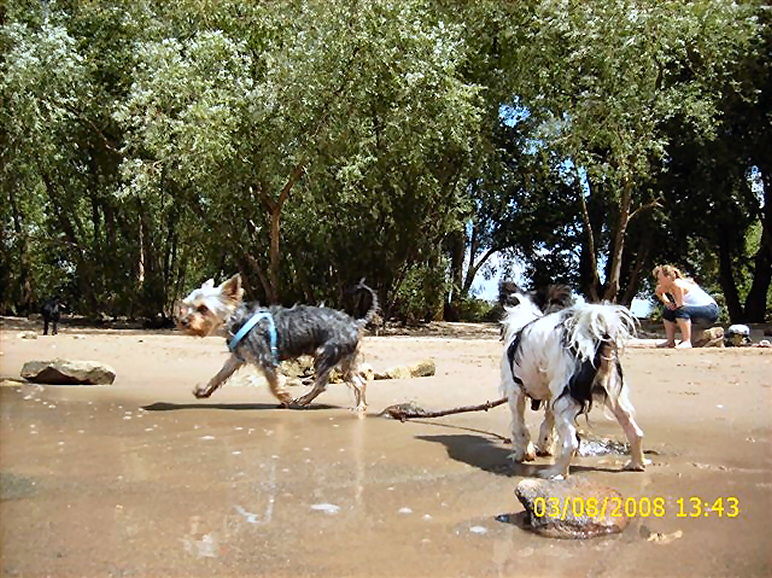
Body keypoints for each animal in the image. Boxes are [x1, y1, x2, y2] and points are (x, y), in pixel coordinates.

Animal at [500, 284, 644, 476]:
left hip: (565, 401)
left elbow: (519, 427)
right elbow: (547, 423)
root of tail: (592, 339)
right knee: (635, 432)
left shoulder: (515, 392)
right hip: (613, 395)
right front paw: (543, 446)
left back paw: (556, 472)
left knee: (571, 443)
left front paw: (522, 454)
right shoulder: (550, 396)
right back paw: (636, 463)